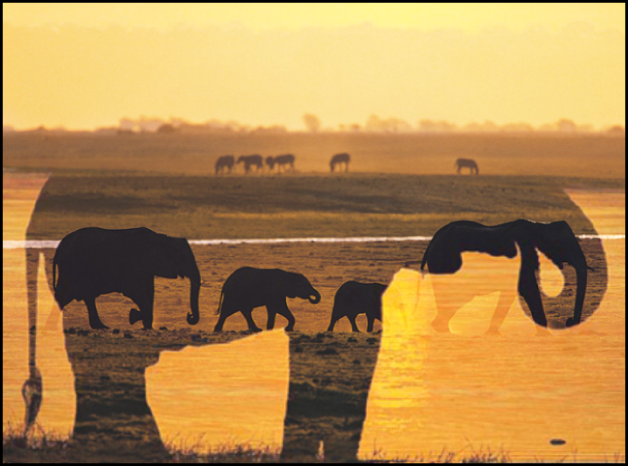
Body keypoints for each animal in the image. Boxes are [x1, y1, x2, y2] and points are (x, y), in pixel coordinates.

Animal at [54, 227, 202, 330]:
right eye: (182, 258)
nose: (189, 315)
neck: (161, 239)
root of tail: (60, 246)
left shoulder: (147, 269)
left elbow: (150, 292)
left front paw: (147, 327)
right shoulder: (134, 264)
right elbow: (133, 290)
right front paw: (133, 316)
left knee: (72, 296)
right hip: (73, 267)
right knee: (78, 294)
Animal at [420, 219, 604, 332]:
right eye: (562, 245)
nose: (569, 320)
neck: (540, 227)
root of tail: (432, 241)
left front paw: (492, 333)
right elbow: (529, 290)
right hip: (445, 263)